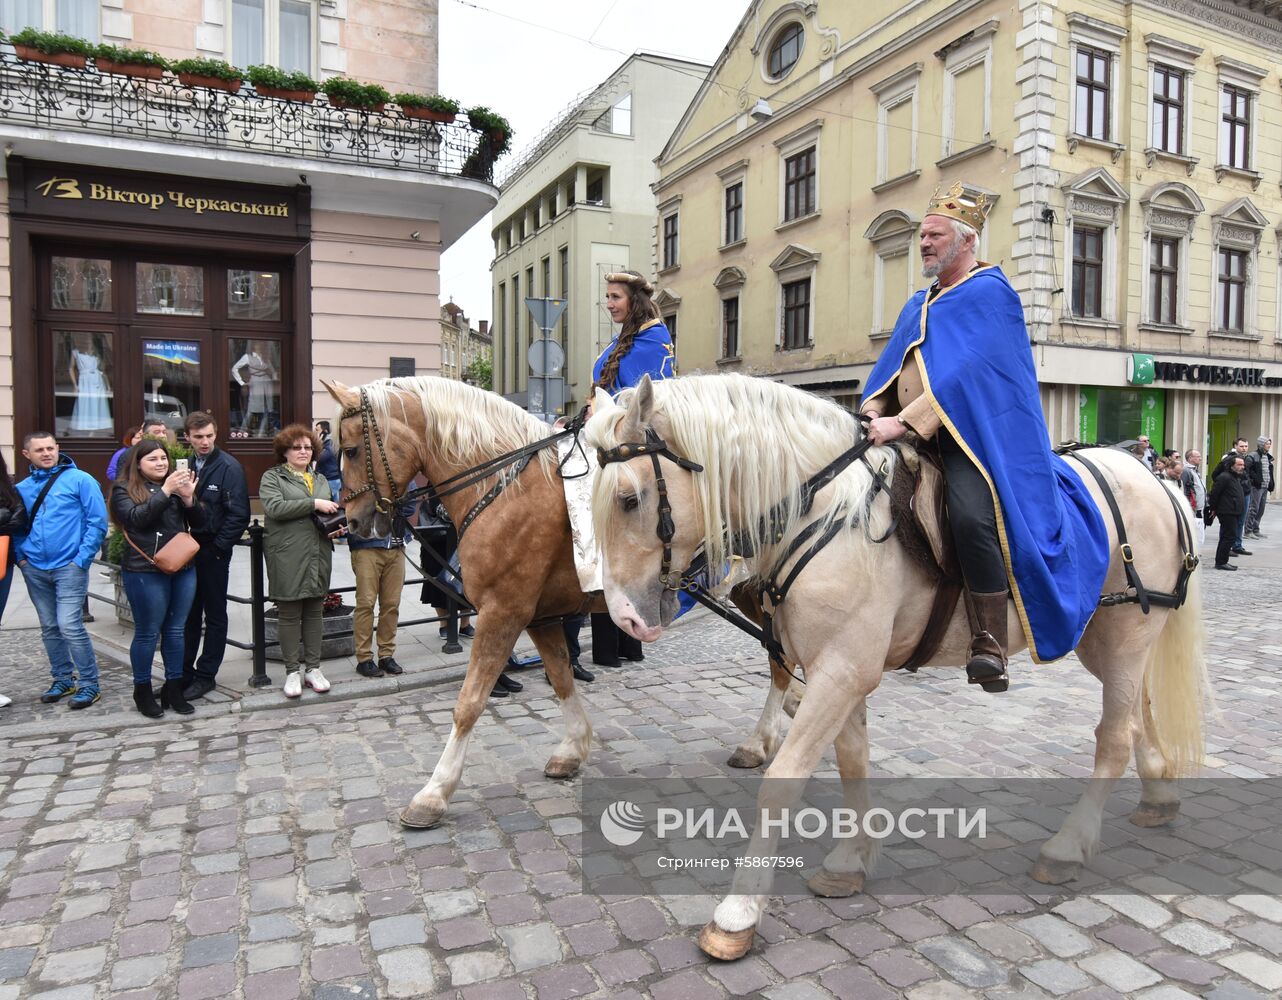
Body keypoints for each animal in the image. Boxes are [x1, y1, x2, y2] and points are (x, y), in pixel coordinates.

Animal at [323, 374, 789, 825]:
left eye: (350, 450)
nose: (352, 522)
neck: (503, 487)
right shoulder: (540, 618)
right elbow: (562, 678)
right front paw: (573, 748)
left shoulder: (502, 613)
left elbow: (469, 703)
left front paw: (434, 793)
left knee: (780, 665)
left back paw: (762, 740)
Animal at [587, 371, 1205, 958]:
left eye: (629, 499)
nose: (623, 618)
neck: (823, 512)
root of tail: (1154, 478)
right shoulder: (839, 667)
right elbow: (852, 761)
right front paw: (850, 861)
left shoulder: (840, 670)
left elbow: (783, 782)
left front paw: (737, 915)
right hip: (1109, 642)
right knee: (1137, 715)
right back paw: (1159, 794)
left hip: (1122, 640)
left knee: (1114, 737)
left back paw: (1068, 847)